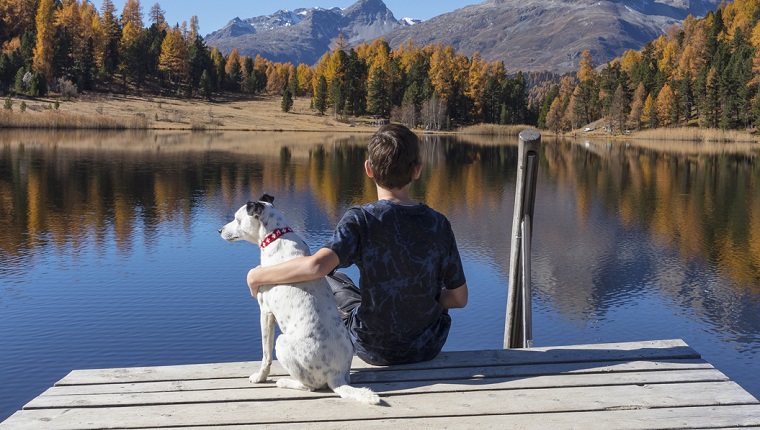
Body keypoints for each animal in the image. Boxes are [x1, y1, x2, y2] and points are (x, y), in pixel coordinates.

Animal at [220, 193, 380, 404]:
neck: (276, 236)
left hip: (282, 343)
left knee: (309, 386)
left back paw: (285, 382)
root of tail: (336, 375)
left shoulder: (266, 313)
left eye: (237, 219)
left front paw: (260, 377)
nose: (220, 230)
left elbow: (265, 354)